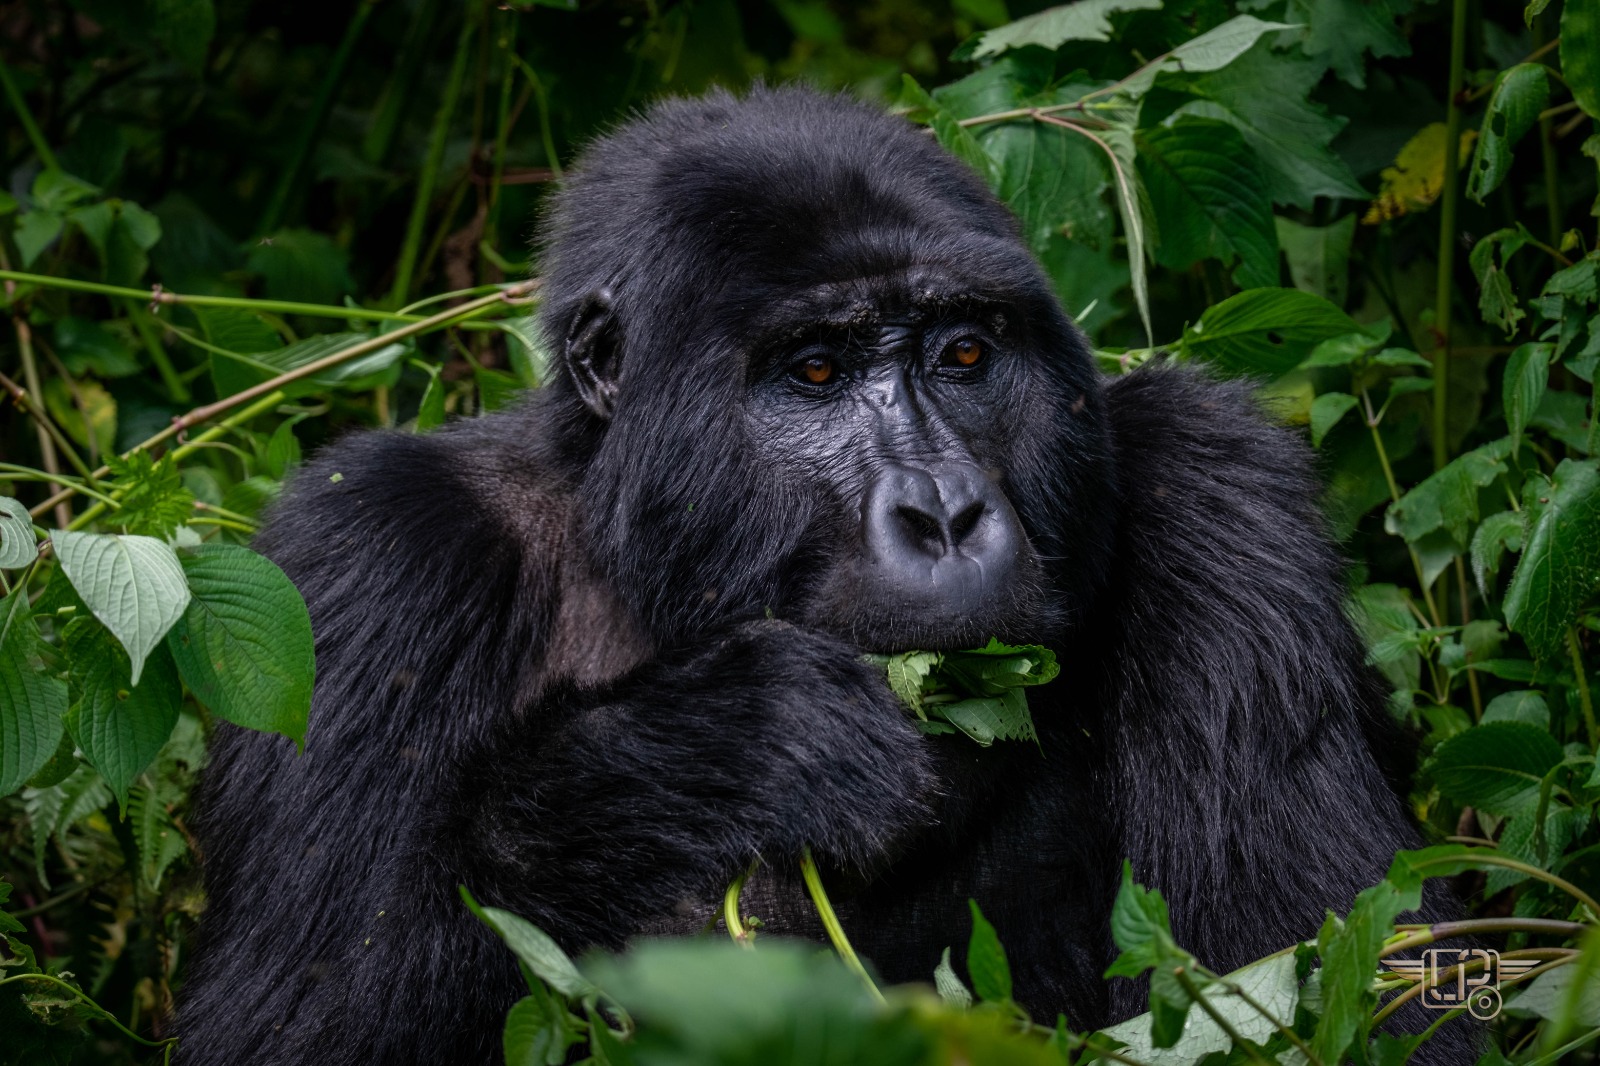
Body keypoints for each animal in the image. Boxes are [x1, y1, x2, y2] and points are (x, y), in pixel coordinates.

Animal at [178, 87, 1472, 1056]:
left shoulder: (1213, 484)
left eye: (964, 354)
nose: (944, 514)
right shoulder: (372, 559)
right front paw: (719, 745)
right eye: (813, 371)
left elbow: (1333, 985)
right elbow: (322, 1010)